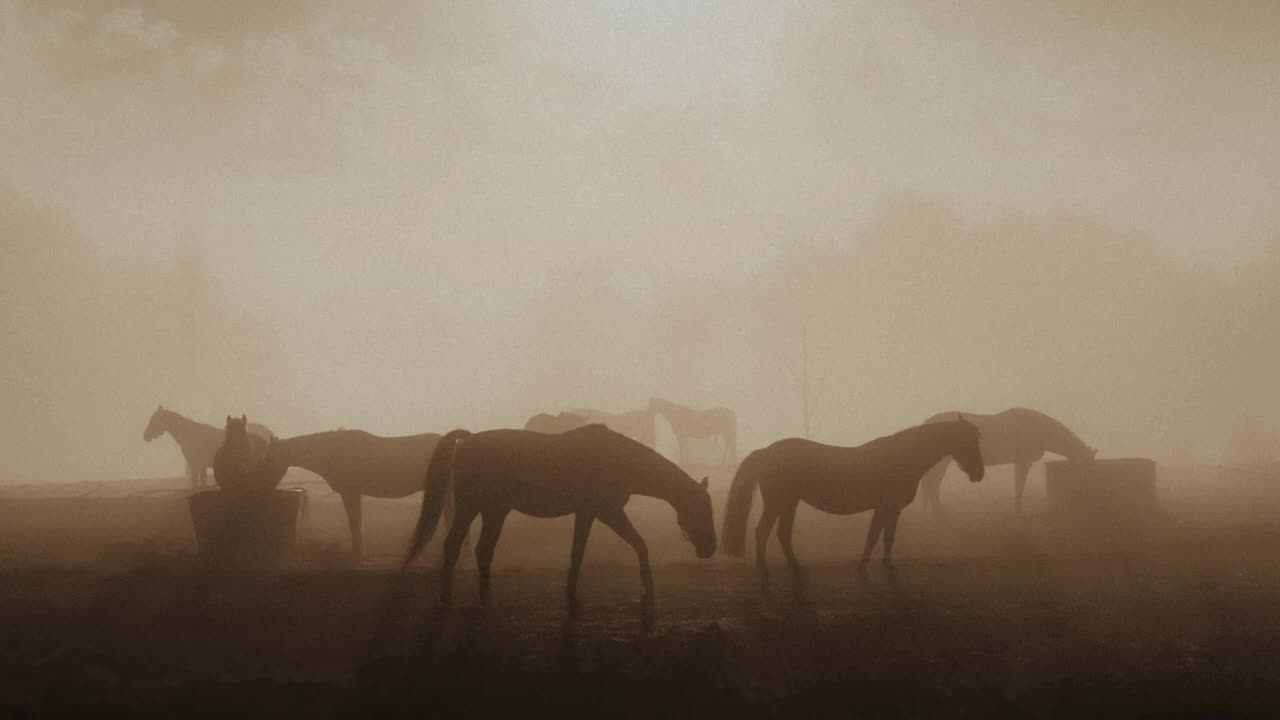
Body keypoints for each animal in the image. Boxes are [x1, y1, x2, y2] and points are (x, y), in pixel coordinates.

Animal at [257, 425, 442, 561]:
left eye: (270, 459)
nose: (262, 485)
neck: (335, 453)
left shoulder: (350, 493)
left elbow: (355, 523)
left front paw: (357, 555)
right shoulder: (351, 494)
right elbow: (355, 523)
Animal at [401, 422, 716, 614]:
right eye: (701, 510)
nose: (710, 548)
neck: (617, 459)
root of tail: (467, 440)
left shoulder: (588, 513)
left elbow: (578, 553)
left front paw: (571, 596)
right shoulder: (609, 512)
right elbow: (639, 544)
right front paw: (647, 593)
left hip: (495, 510)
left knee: (482, 550)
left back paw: (486, 598)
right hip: (472, 507)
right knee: (454, 547)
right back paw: (449, 599)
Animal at [727, 415, 983, 589]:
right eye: (968, 441)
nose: (978, 474)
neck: (902, 457)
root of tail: (766, 452)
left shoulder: (890, 510)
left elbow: (883, 538)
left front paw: (881, 565)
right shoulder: (886, 508)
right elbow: (875, 537)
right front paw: (867, 567)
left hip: (789, 503)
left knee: (782, 533)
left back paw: (794, 566)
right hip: (778, 503)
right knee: (763, 531)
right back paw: (764, 570)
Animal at [921, 407, 1100, 517]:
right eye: (1087, 467)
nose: (1089, 491)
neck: (1039, 429)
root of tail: (927, 423)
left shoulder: (1021, 462)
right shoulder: (1022, 461)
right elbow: (1019, 487)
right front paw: (1018, 513)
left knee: (932, 485)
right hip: (941, 462)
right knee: (933, 485)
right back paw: (938, 515)